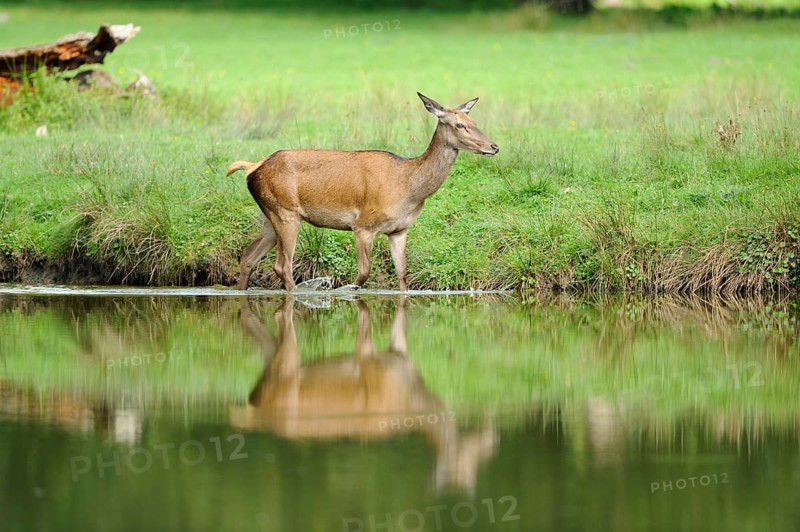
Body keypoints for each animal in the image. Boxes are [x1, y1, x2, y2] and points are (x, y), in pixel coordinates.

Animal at [226, 92, 499, 291]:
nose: (494, 146)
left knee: (248, 256)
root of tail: (253, 168)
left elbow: (402, 276)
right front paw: (342, 291)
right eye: (459, 125)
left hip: (270, 216)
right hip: (286, 213)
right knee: (282, 266)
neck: (409, 187)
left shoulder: (399, 230)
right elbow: (363, 274)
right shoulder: (363, 225)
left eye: (474, 122)